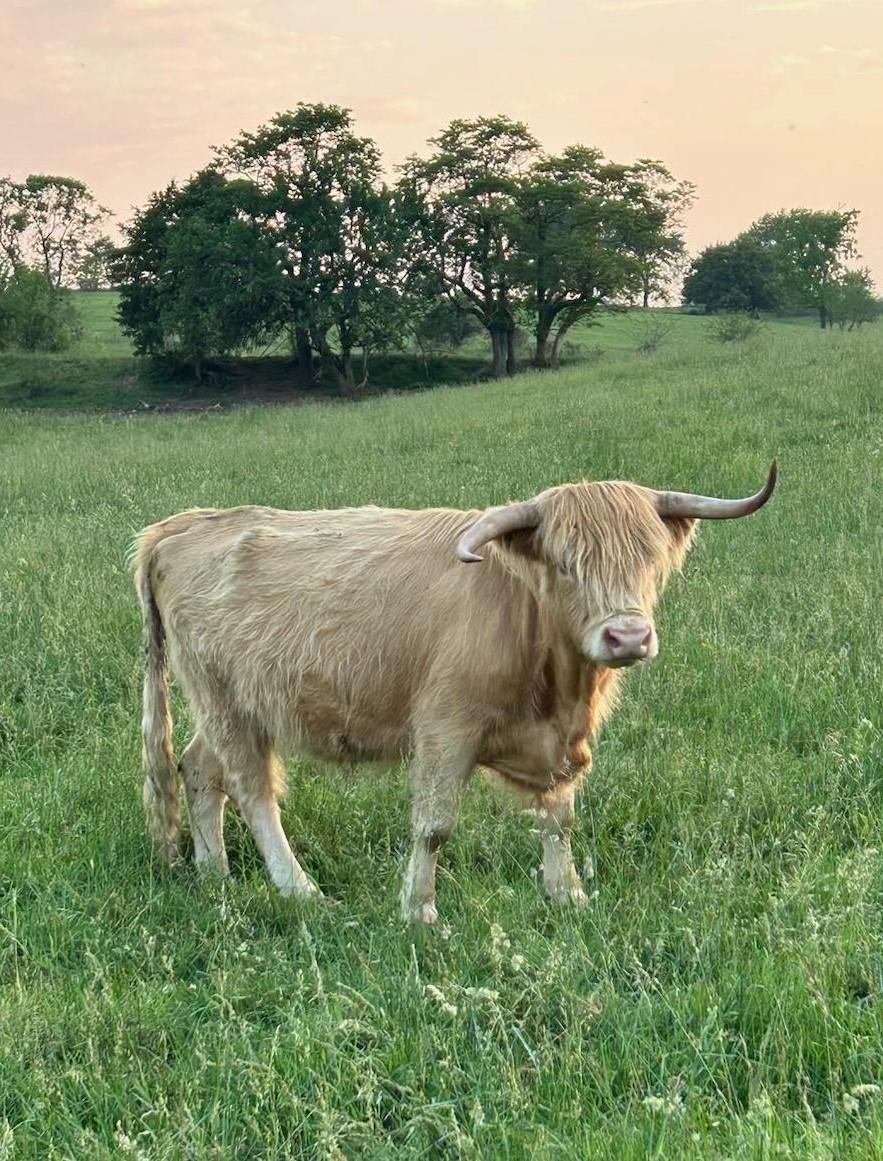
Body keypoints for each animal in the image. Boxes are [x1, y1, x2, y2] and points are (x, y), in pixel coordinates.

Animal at [131, 464, 770, 924]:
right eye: (566, 565)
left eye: (650, 561)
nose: (628, 636)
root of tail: (177, 527)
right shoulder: (445, 727)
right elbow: (434, 825)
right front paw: (419, 911)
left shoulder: (559, 742)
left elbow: (559, 818)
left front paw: (566, 894)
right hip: (222, 697)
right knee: (252, 789)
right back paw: (300, 889)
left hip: (232, 705)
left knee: (199, 769)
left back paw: (213, 874)